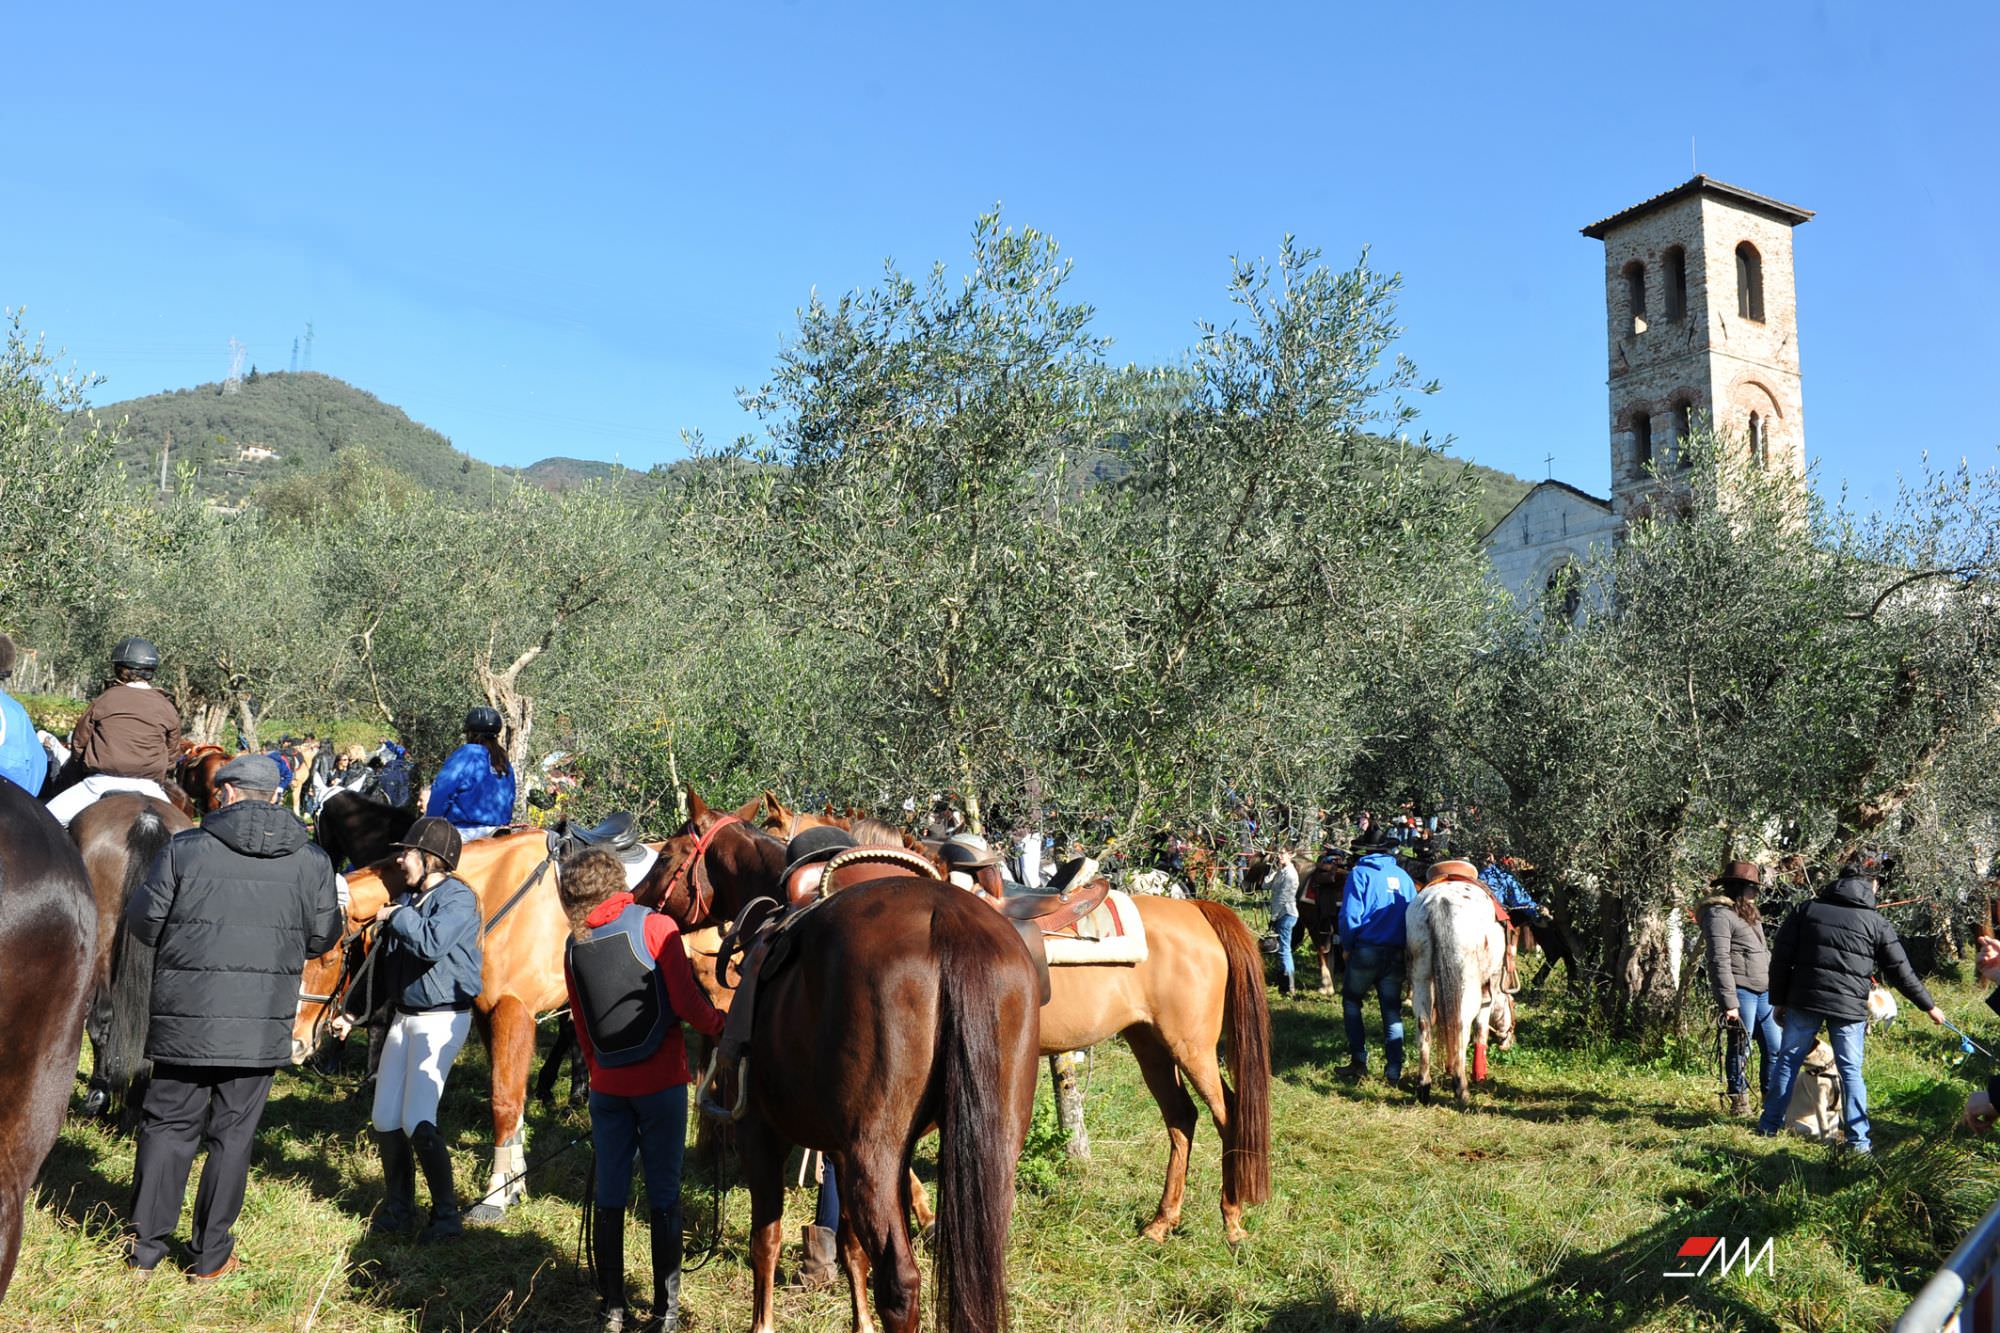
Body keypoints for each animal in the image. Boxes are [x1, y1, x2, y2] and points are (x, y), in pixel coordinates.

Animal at [644, 788, 1040, 1328]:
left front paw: (763, 1323)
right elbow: (851, 1247)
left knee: (901, 1282)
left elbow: (765, 1241)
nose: (636, 901)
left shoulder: (760, 1133)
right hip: (987, 1151)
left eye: (666, 855)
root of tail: (950, 923)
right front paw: (860, 1322)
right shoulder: (839, 1149)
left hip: (873, 1157)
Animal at [756, 792, 1272, 1240]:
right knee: (1181, 1117)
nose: (779, 916)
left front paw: (929, 1217)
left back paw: (1232, 1219)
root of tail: (1199, 912)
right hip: (1149, 1041)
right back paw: (1162, 1223)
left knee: (1227, 1113)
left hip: (1191, 1044)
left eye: (772, 833)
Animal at [1408, 868, 1504, 1104]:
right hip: (1466, 983)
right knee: (1460, 1024)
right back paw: (1461, 1088)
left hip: (1421, 975)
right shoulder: (1490, 985)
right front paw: (1479, 1074)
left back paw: (1424, 1085)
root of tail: (1440, 901)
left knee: (1423, 1023)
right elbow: (1481, 1028)